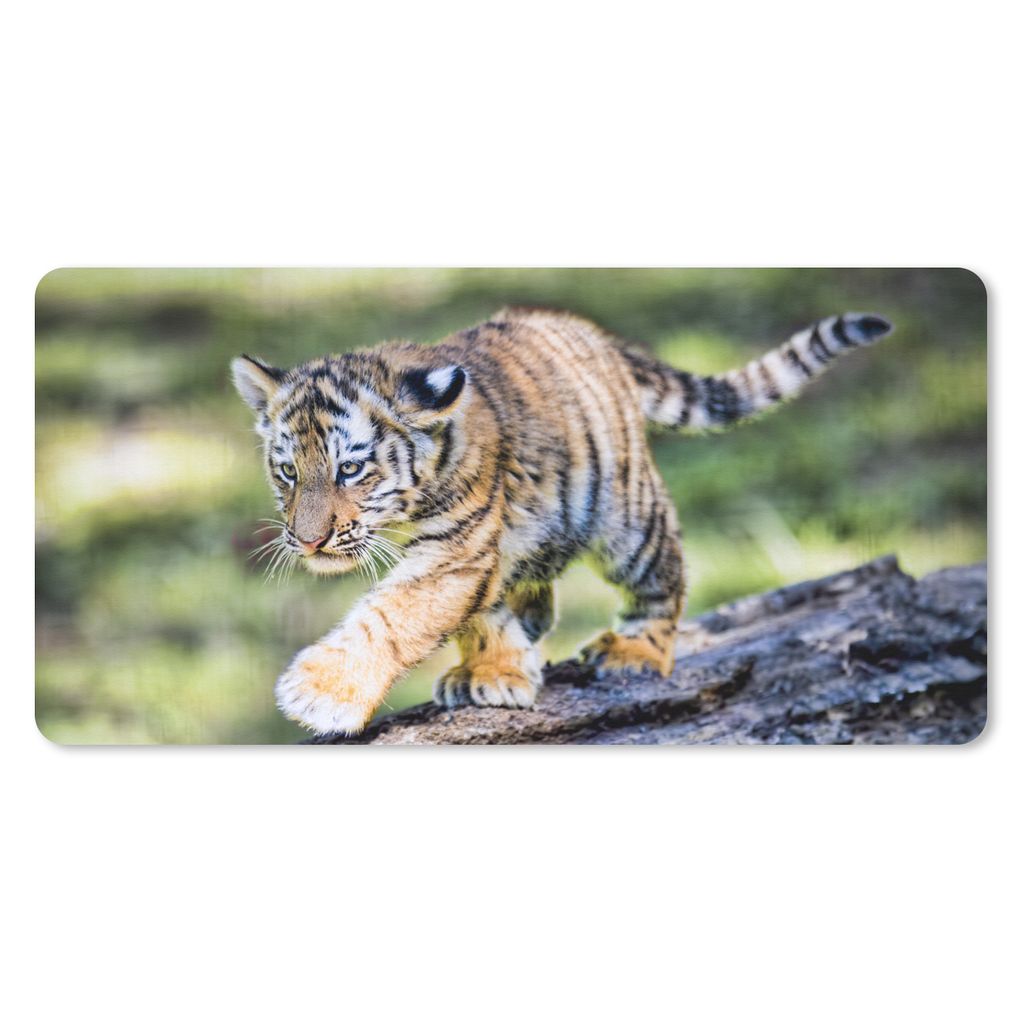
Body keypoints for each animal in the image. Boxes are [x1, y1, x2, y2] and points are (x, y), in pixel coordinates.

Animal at [231, 306, 892, 736]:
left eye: (350, 469)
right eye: (288, 472)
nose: (308, 540)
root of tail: (590, 331)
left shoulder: (457, 547)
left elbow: (392, 615)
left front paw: (321, 693)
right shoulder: (480, 550)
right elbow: (479, 615)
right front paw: (493, 671)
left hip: (628, 520)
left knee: (665, 578)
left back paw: (637, 651)